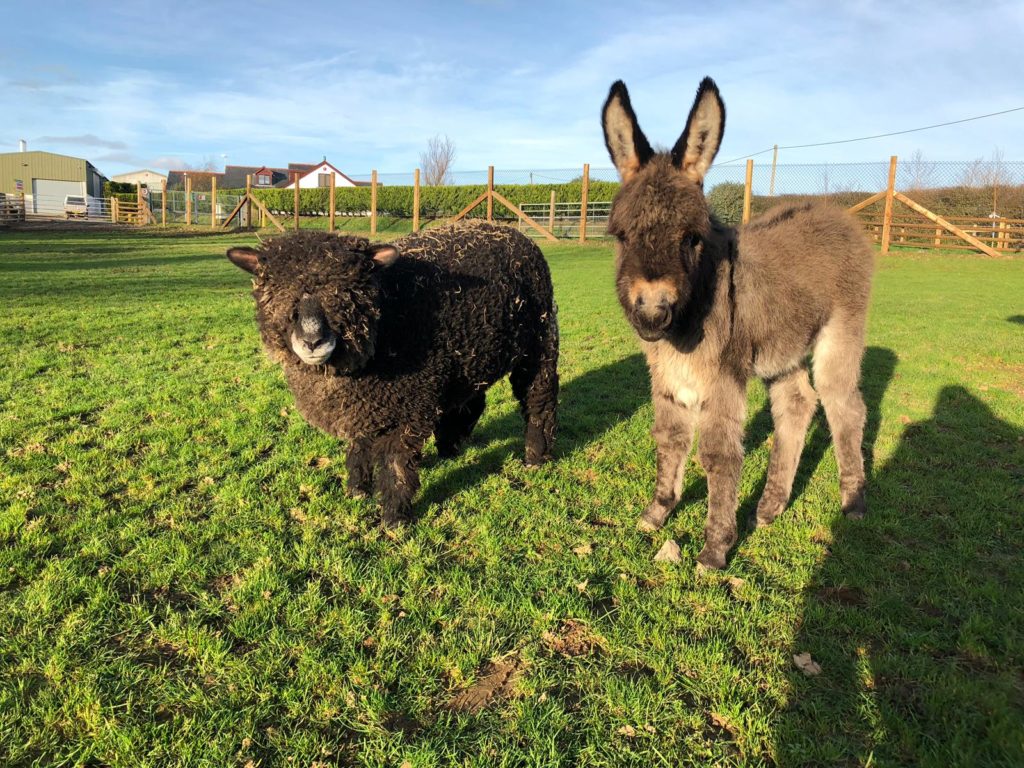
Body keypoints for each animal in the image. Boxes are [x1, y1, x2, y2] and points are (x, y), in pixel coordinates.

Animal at [228, 219, 561, 528]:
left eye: (350, 292)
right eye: (275, 293)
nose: (312, 341)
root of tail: (509, 230)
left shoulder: (408, 408)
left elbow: (395, 465)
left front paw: (395, 518)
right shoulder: (363, 405)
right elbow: (359, 447)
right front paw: (357, 489)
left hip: (540, 344)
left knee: (539, 402)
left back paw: (536, 455)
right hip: (470, 357)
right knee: (472, 401)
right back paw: (450, 446)